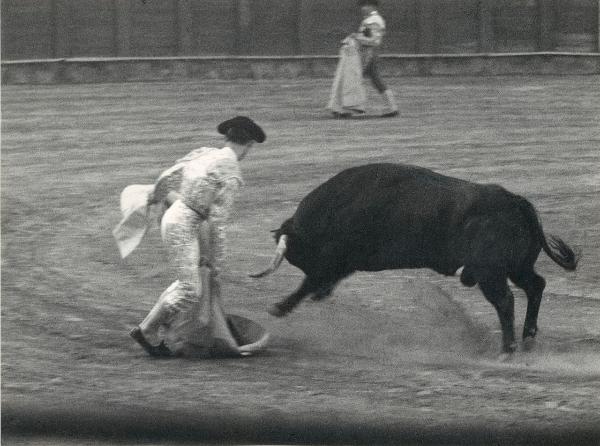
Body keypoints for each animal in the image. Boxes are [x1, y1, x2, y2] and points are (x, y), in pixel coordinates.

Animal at [248, 164, 576, 356]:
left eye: (300, 256)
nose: (323, 295)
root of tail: (515, 201)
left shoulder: (334, 258)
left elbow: (308, 281)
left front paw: (278, 308)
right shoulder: (343, 263)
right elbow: (319, 279)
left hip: (491, 272)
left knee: (505, 300)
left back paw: (507, 347)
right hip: (518, 267)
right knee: (535, 286)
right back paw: (528, 338)